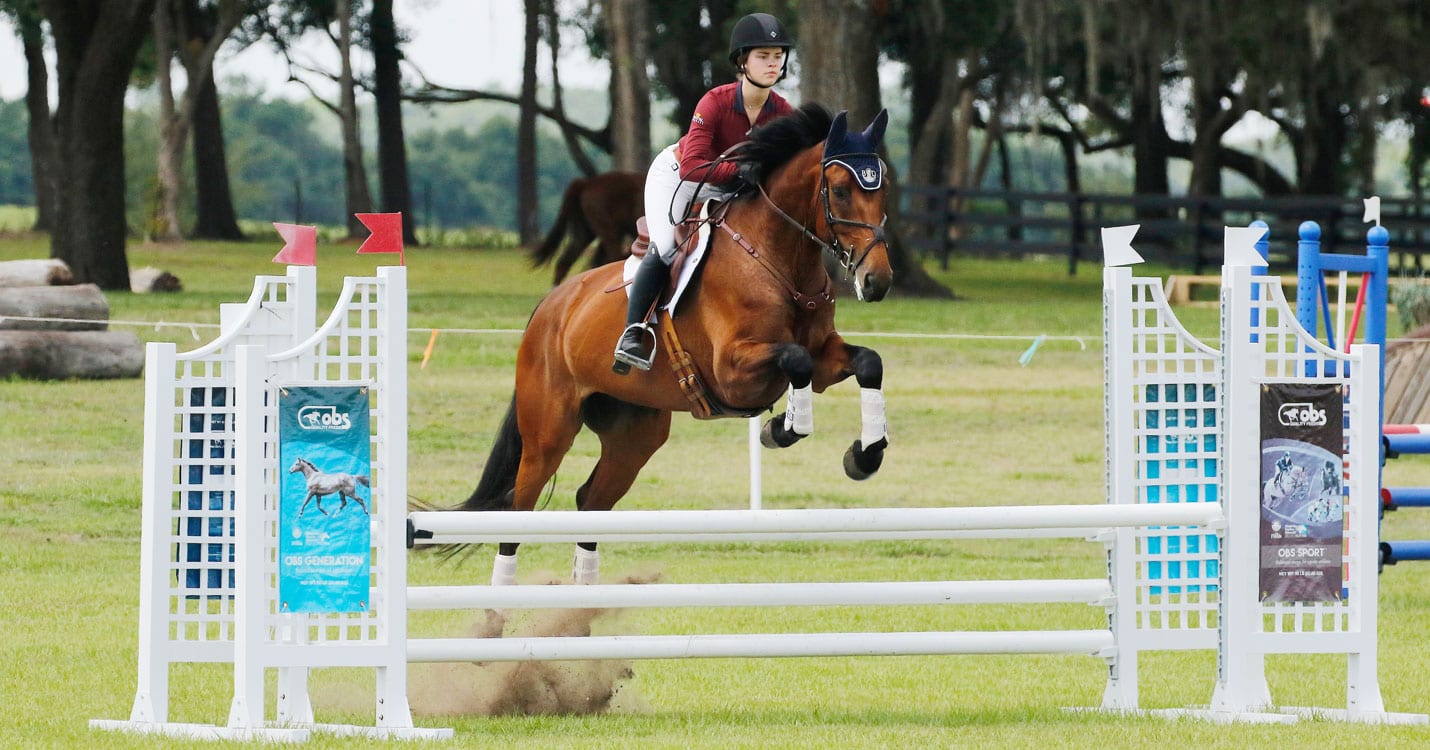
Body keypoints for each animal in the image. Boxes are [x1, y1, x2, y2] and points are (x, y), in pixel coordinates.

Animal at [460, 102, 892, 589]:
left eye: (883, 189)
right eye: (839, 191)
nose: (877, 281)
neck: (778, 259)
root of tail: (549, 309)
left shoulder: (822, 361)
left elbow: (868, 363)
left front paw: (865, 455)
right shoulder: (734, 372)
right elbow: (794, 360)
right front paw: (781, 430)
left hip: (634, 435)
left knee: (591, 500)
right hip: (548, 433)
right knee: (519, 509)